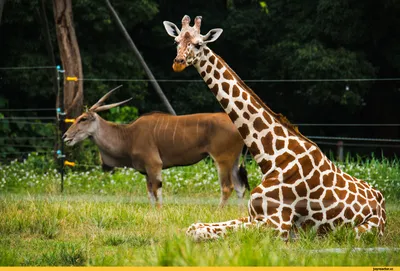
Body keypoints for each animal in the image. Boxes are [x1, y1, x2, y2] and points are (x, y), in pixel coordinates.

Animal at [62, 87, 248, 208]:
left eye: (83, 119)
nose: (65, 137)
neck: (129, 135)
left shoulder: (154, 165)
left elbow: (157, 191)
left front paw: (160, 211)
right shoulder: (145, 171)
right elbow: (150, 194)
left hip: (222, 160)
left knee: (227, 187)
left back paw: (219, 212)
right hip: (233, 160)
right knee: (240, 187)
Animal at [163, 15, 388, 242]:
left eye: (199, 44)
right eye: (176, 41)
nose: (178, 62)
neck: (271, 157)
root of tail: (383, 204)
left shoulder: (277, 225)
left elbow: (198, 231)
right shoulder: (253, 216)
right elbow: (194, 226)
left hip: (358, 232)